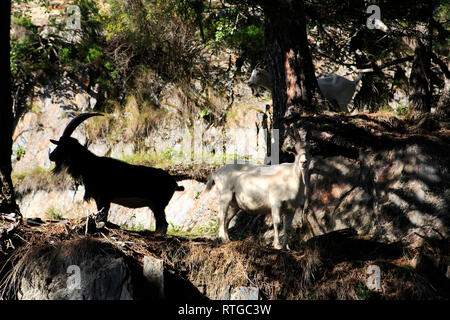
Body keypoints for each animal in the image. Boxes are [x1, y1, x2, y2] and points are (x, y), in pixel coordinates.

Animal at [48, 112, 184, 232]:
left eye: (61, 145)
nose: (51, 156)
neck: (91, 164)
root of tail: (174, 183)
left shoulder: (102, 197)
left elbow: (102, 216)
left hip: (158, 204)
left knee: (163, 224)